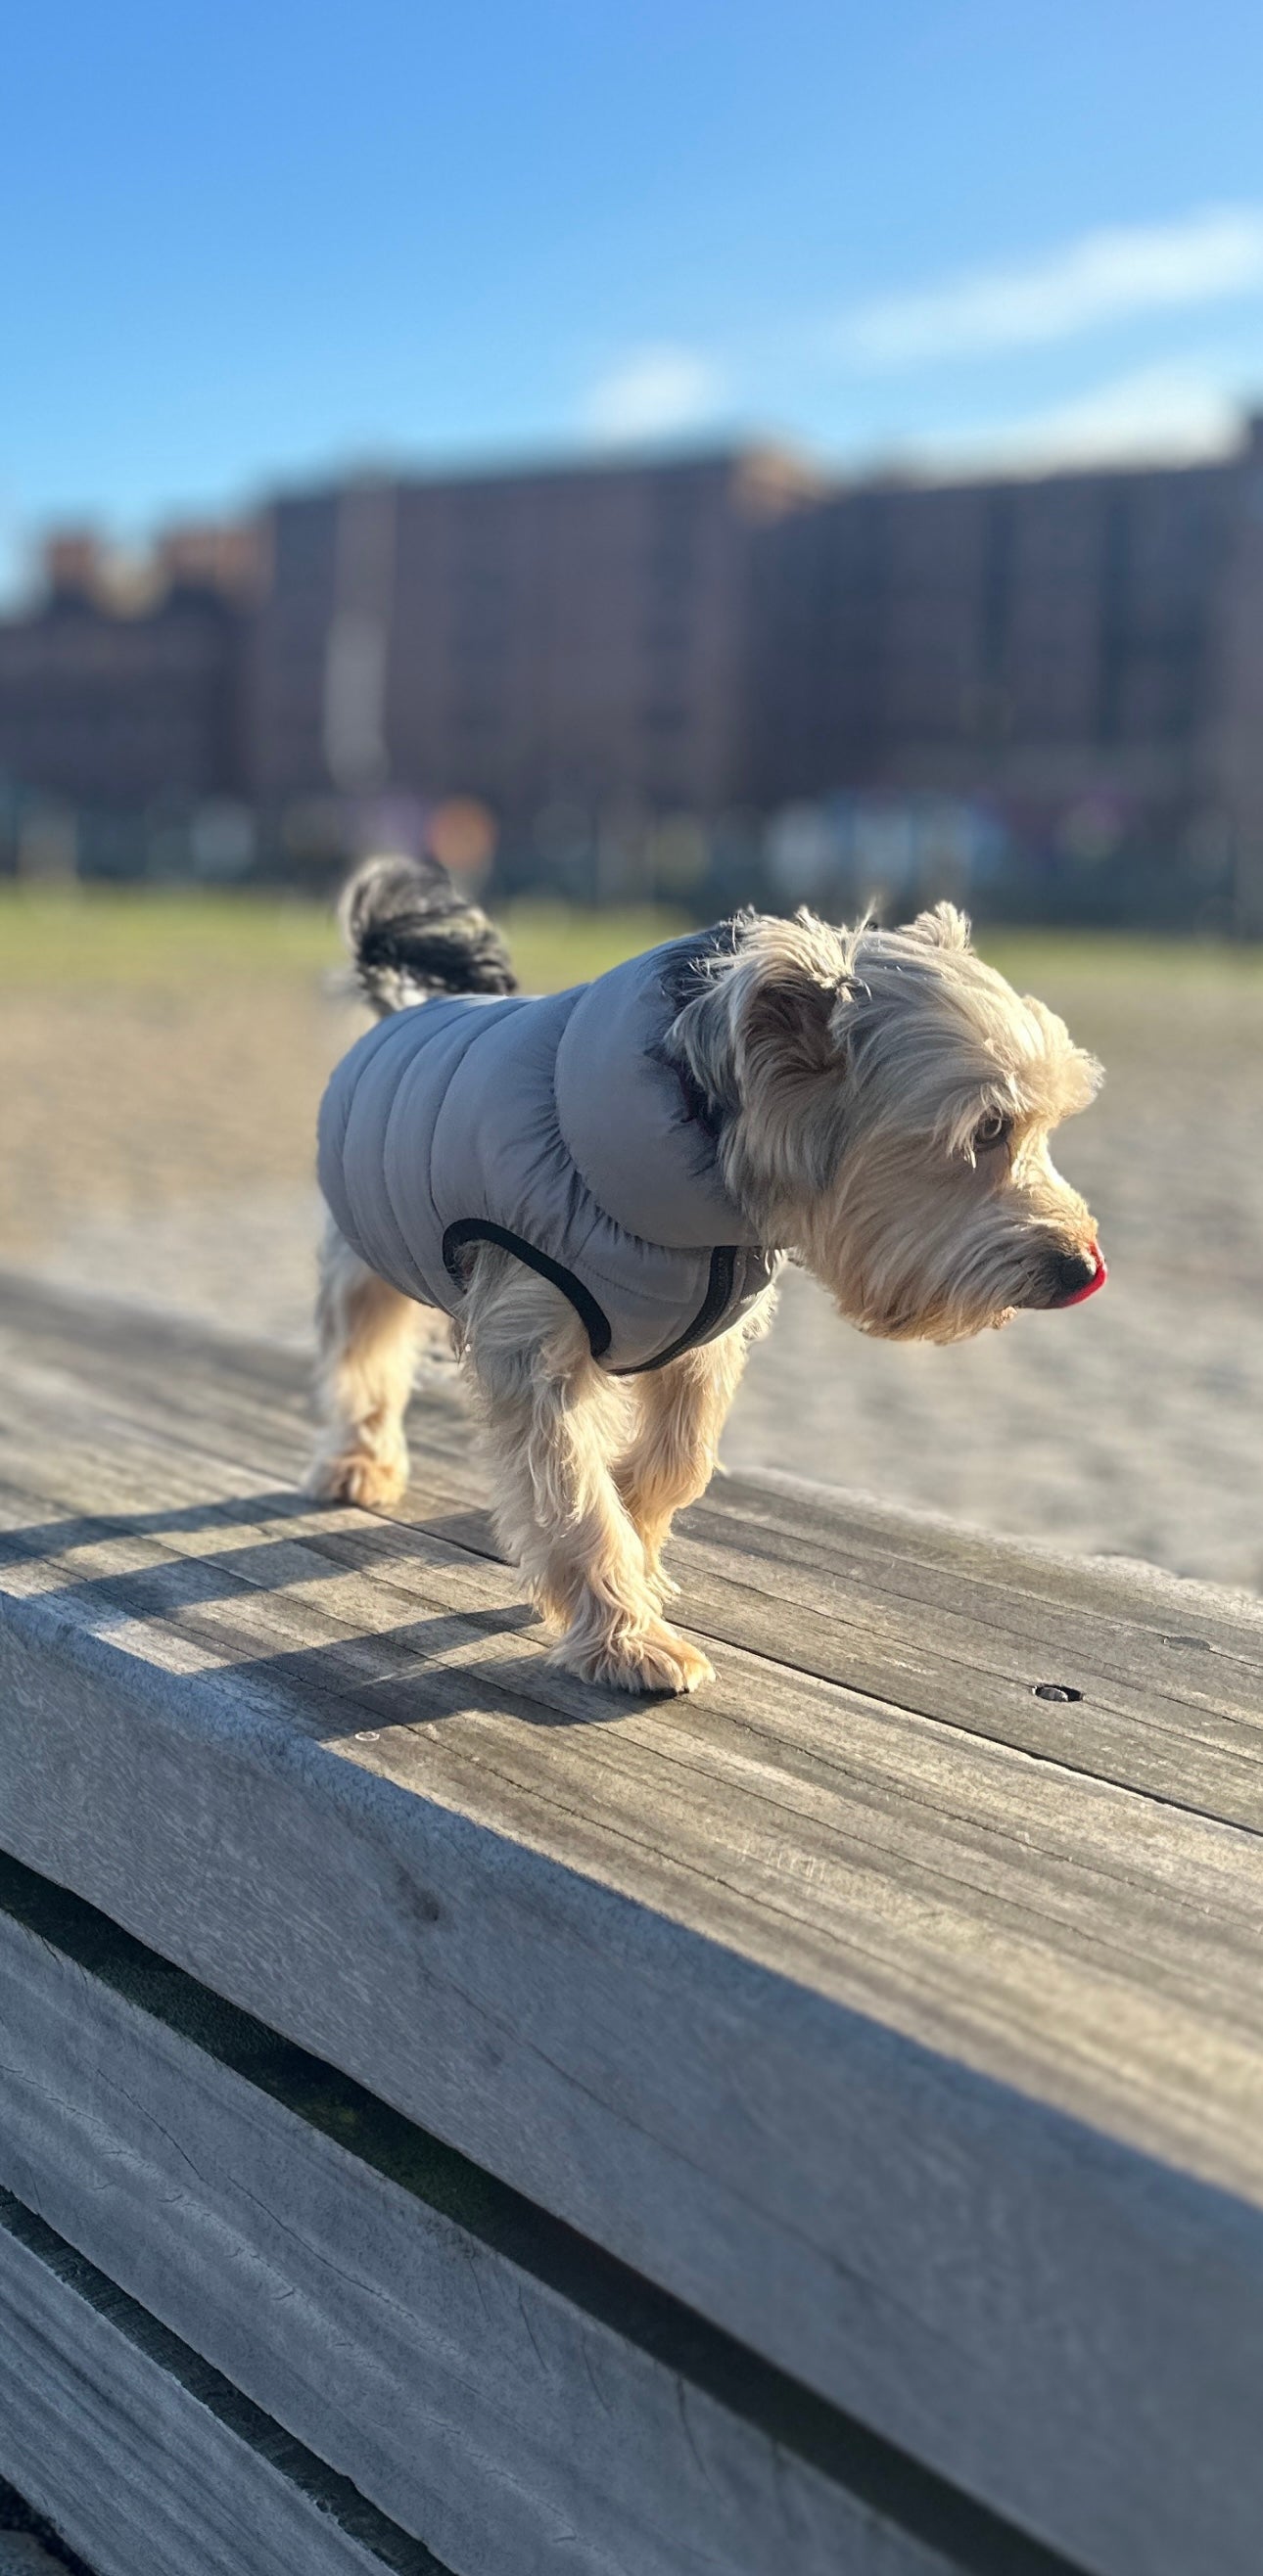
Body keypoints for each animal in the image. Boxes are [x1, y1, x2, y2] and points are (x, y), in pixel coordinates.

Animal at [307, 860, 1102, 1689]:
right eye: (989, 1128)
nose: (1083, 1267)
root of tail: (401, 1006)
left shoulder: (702, 1335)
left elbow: (679, 1459)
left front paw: (638, 1542)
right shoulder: (531, 1345)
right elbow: (574, 1491)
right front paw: (626, 1639)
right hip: (362, 1256)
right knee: (364, 1359)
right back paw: (361, 1462)